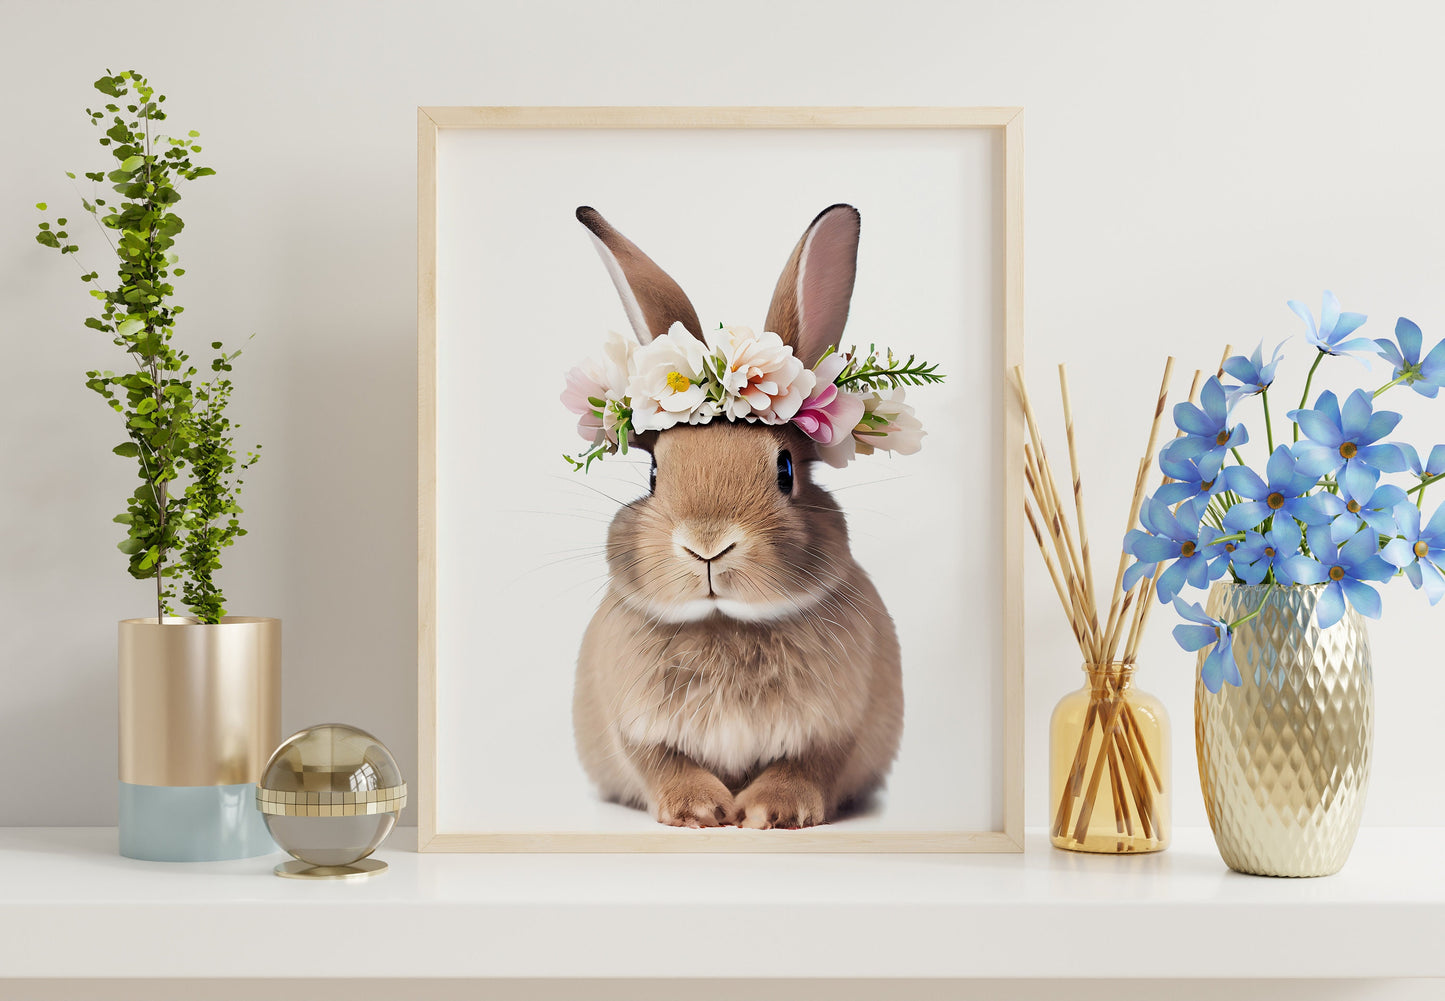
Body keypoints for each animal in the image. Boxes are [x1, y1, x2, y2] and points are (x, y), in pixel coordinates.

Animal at [571, 204, 903, 829]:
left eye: (786, 470)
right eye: (653, 473)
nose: (707, 545)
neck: (724, 623)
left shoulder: (835, 729)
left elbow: (806, 766)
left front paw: (773, 812)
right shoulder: (636, 729)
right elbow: (662, 764)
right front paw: (700, 810)